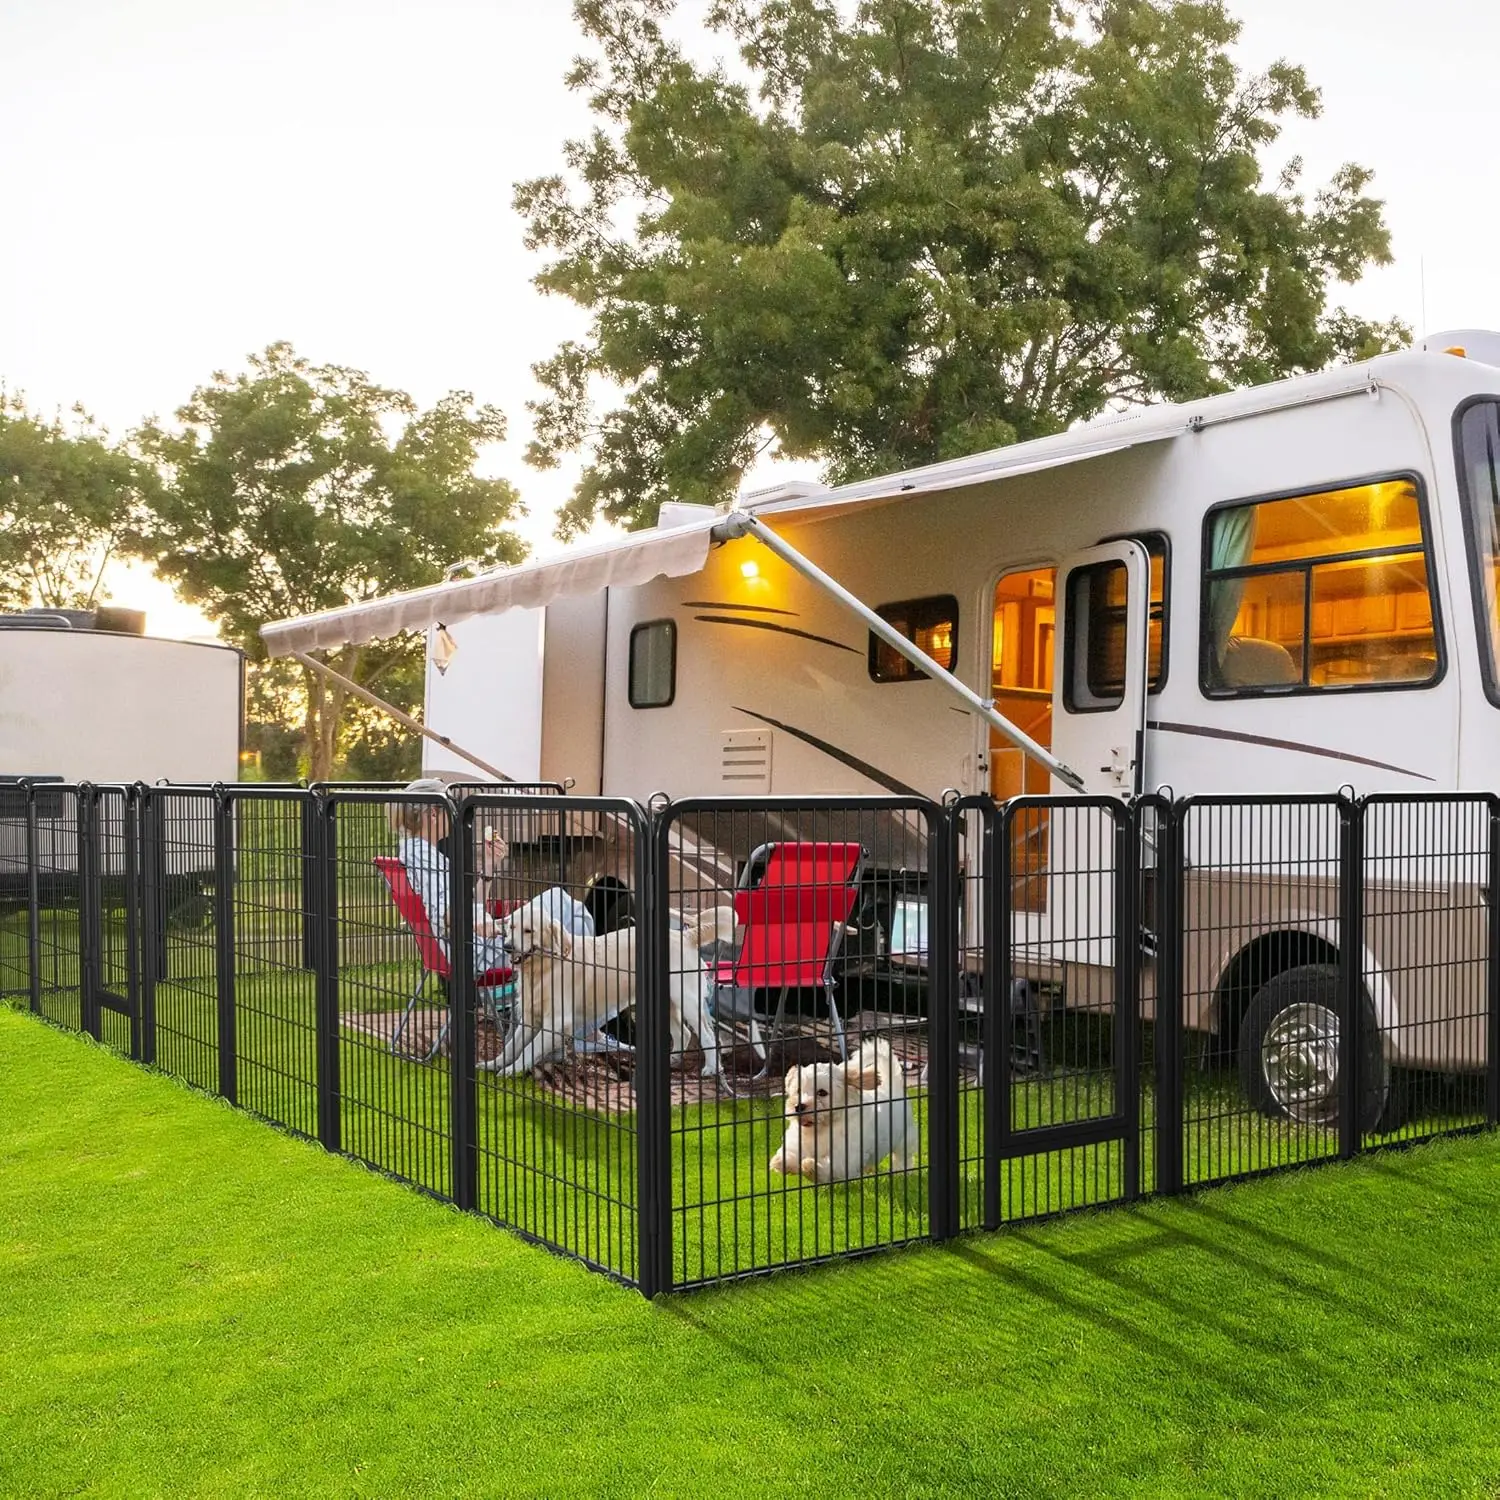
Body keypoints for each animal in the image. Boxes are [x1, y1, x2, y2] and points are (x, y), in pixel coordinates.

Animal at [768, 1032, 918, 1182]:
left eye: (822, 1092)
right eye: (798, 1091)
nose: (798, 1106)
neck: (822, 1128)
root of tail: (892, 1086)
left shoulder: (845, 1154)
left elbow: (831, 1165)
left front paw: (812, 1167)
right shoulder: (799, 1140)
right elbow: (790, 1152)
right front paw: (782, 1162)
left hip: (906, 1137)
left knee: (903, 1156)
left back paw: (901, 1172)